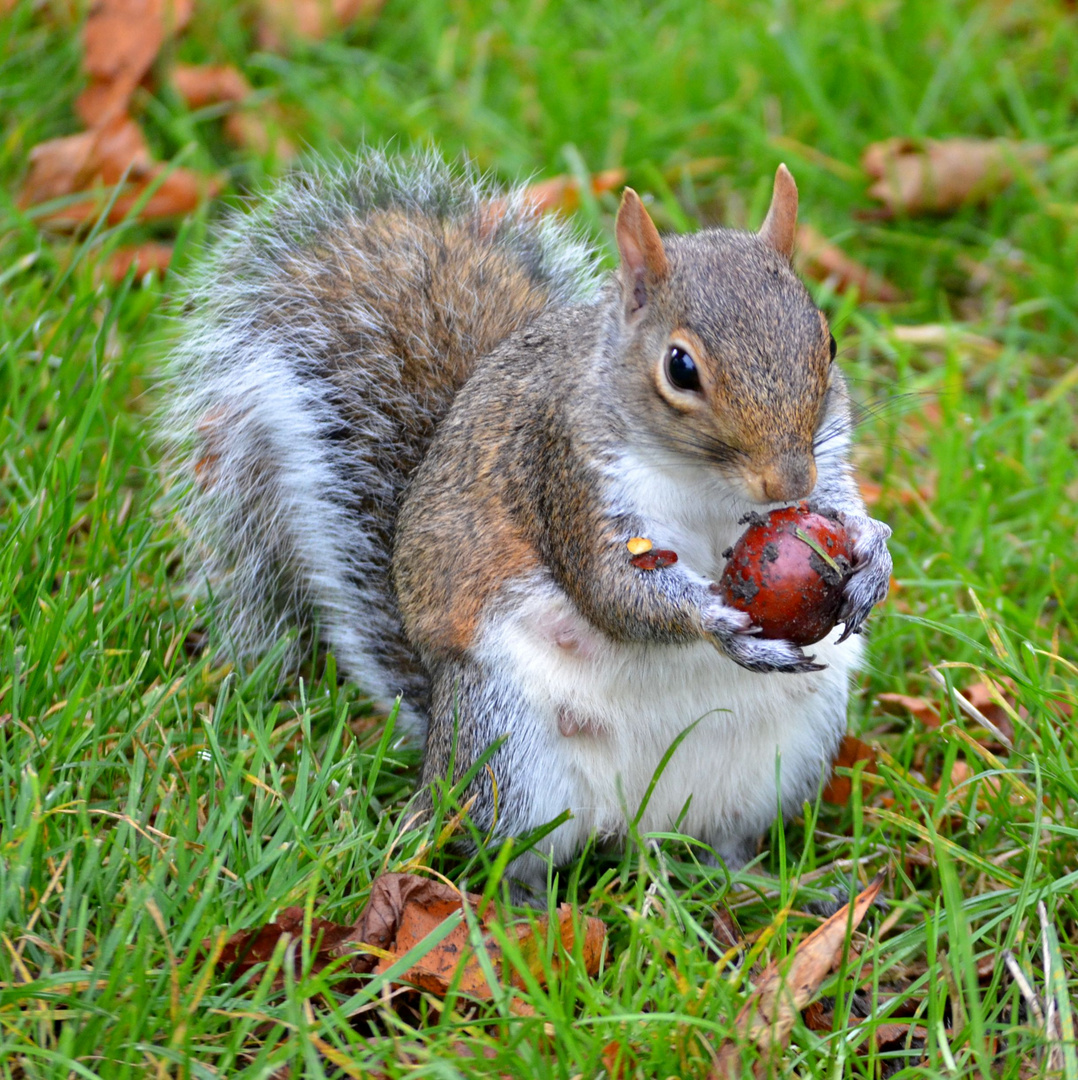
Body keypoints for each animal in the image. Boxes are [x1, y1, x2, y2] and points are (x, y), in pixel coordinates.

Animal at [164, 152, 894, 894]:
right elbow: (612, 593)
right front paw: (719, 625)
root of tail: (637, 822)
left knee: (722, 846)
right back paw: (521, 907)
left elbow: (844, 505)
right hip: (508, 751)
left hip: (785, 757)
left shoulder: (826, 457)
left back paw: (773, 885)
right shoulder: (566, 475)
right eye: (680, 367)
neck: (706, 483)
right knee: (503, 852)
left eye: (829, 341)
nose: (789, 484)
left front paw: (873, 556)